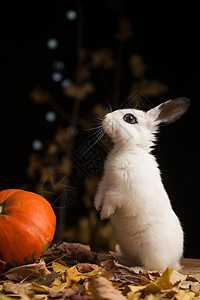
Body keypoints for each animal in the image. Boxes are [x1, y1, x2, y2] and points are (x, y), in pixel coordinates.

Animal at [94, 97, 190, 270]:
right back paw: (122, 261)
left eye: (129, 118)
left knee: (155, 268)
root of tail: (174, 261)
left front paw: (105, 214)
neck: (129, 148)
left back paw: (136, 269)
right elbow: (100, 194)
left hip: (153, 251)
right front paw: (97, 207)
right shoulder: (106, 181)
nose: (105, 117)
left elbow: (111, 199)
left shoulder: (121, 190)